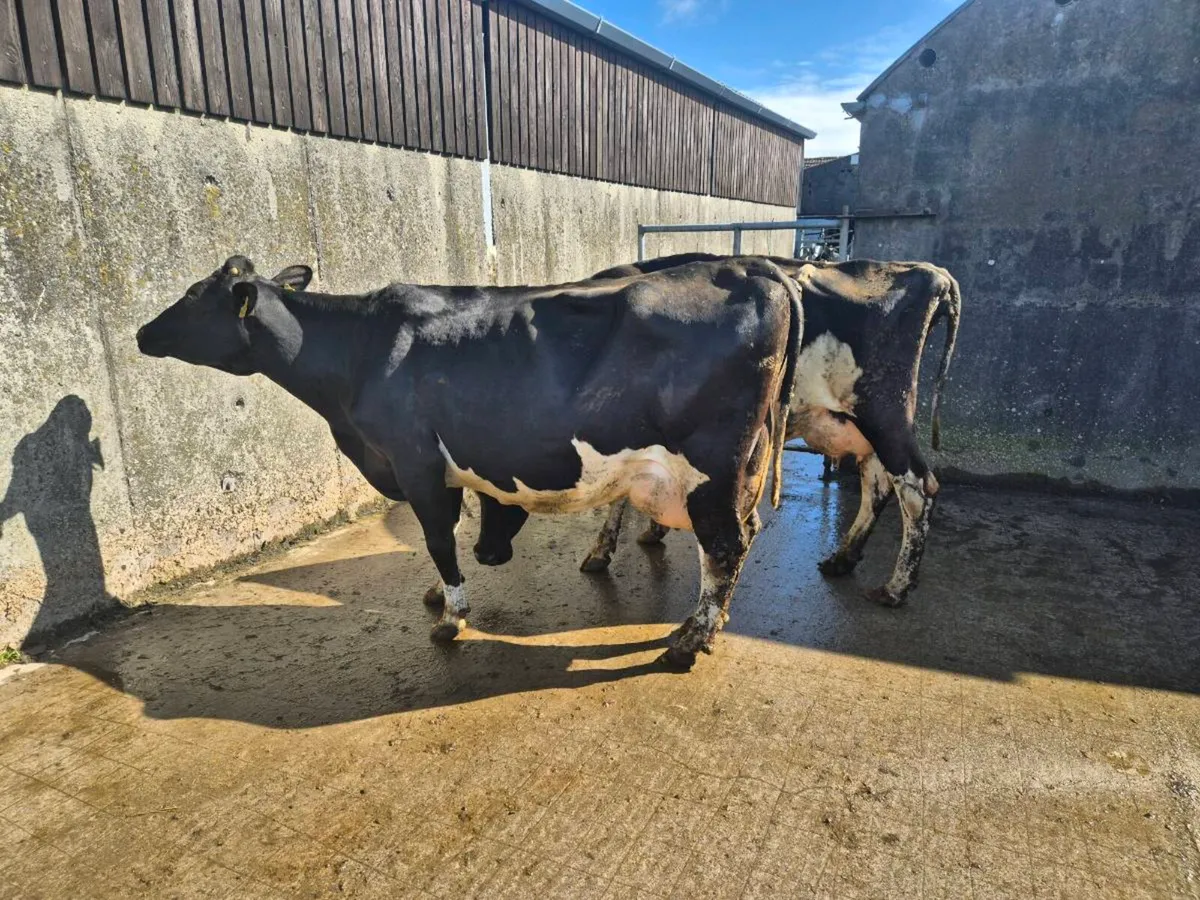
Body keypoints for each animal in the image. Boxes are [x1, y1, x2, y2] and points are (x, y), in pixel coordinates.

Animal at [136, 255, 801, 670]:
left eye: (192, 298)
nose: (142, 333)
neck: (359, 354)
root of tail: (751, 266)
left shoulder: (414, 461)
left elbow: (437, 536)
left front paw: (452, 616)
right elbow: (451, 535)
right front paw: (439, 592)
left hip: (713, 466)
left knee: (725, 545)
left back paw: (690, 642)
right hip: (734, 469)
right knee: (741, 536)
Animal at [577, 253, 961, 609]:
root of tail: (927, 271)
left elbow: (619, 495)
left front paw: (603, 549)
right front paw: (651, 530)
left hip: (885, 413)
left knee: (917, 490)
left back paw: (896, 587)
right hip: (866, 426)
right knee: (878, 486)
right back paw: (843, 559)